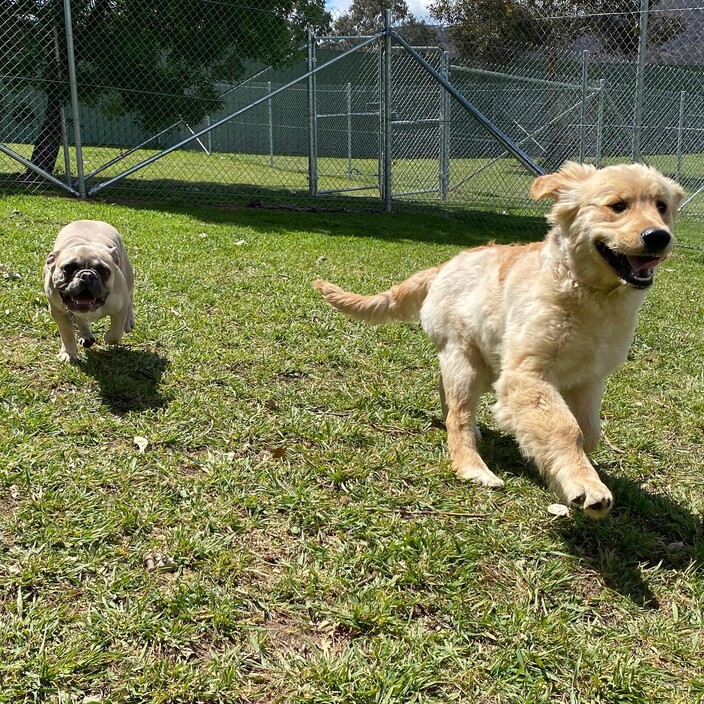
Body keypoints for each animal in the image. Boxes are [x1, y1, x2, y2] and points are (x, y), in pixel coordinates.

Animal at [316, 164, 684, 516]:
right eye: (617, 206)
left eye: (662, 207)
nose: (658, 237)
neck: (589, 294)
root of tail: (445, 265)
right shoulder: (527, 376)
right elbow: (565, 428)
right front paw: (584, 482)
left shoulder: (588, 379)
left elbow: (589, 433)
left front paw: (560, 470)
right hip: (464, 359)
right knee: (459, 416)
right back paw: (472, 466)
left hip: (486, 360)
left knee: (448, 396)